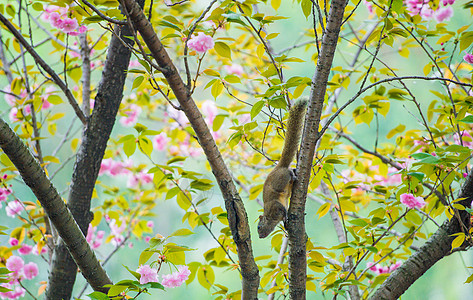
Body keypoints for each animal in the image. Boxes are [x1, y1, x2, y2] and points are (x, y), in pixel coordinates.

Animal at [256, 98, 308, 239]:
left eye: (258, 227)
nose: (260, 236)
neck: (271, 218)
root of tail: (279, 166)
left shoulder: (274, 206)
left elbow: (282, 209)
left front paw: (285, 217)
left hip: (281, 179)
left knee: (288, 173)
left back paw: (293, 175)